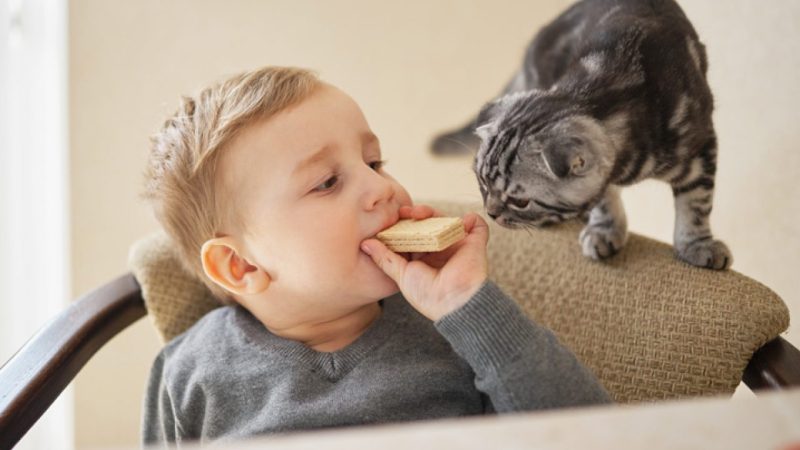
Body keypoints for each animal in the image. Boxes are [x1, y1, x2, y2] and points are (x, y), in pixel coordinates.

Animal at [434, 0, 736, 268]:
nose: (491, 213)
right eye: (482, 184)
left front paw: (696, 244)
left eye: (520, 202)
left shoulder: (702, 145)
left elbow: (697, 202)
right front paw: (604, 229)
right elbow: (604, 196)